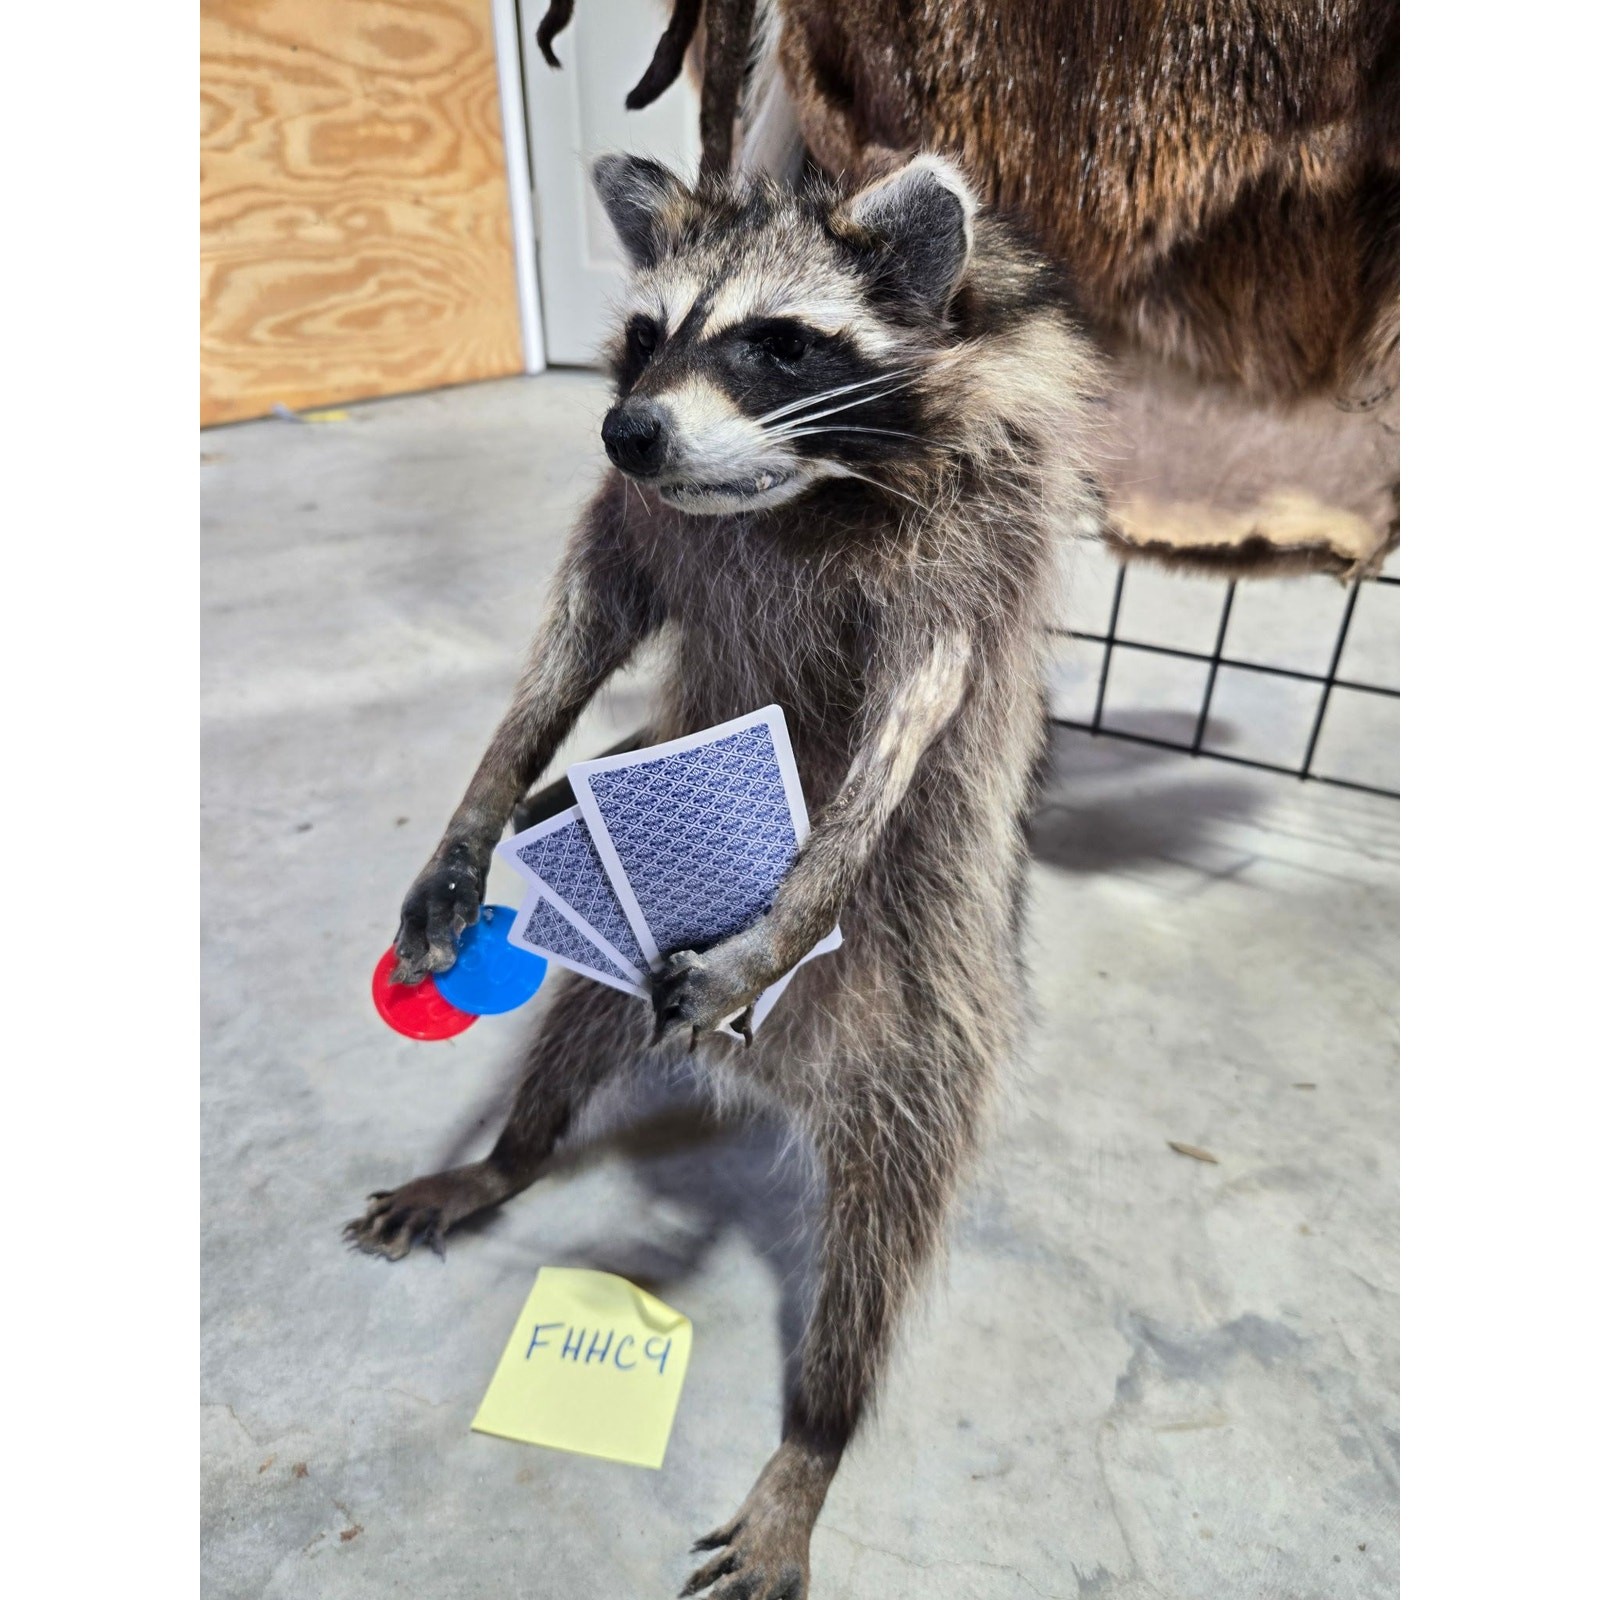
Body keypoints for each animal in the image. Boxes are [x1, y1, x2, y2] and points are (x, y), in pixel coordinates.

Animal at [346, 154, 1102, 1597]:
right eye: (646, 334)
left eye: (777, 344)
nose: (629, 431)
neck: (801, 492)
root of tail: (772, 1077)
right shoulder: (636, 529)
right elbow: (570, 643)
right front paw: (487, 803)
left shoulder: (956, 562)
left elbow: (909, 719)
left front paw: (798, 896)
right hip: (610, 993)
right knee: (568, 1040)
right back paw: (510, 1153)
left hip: (931, 1027)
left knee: (882, 1239)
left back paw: (818, 1429)